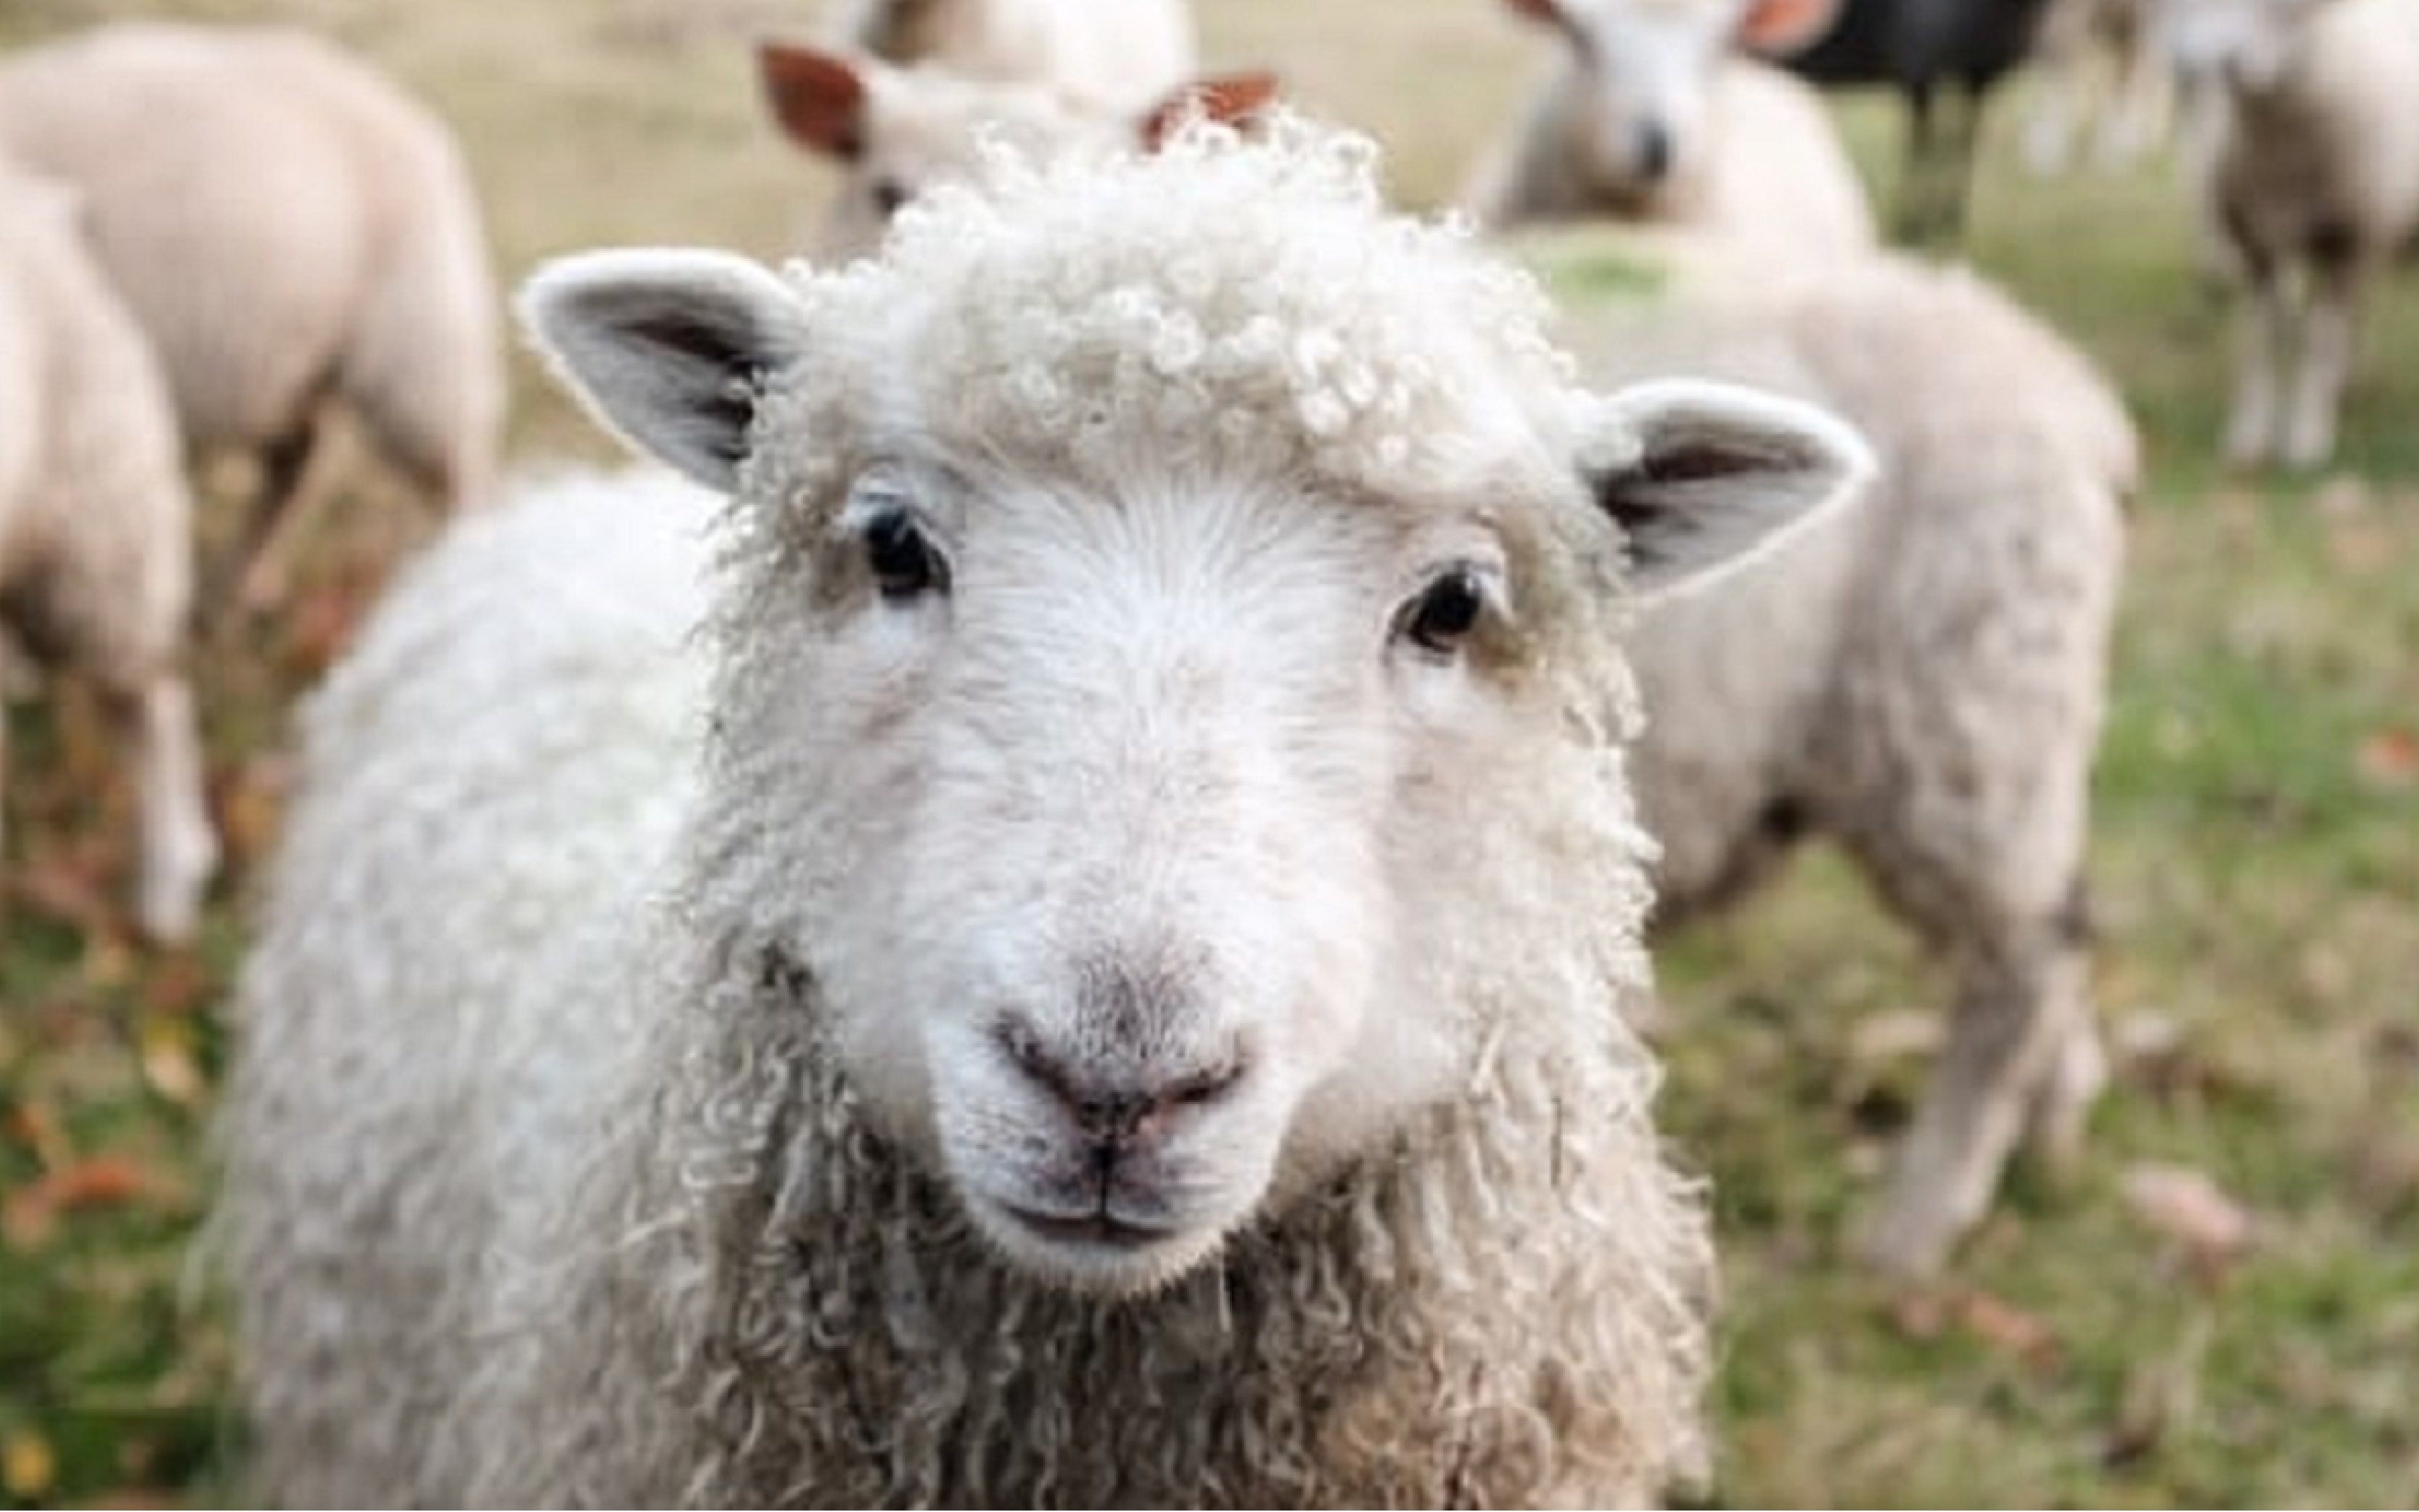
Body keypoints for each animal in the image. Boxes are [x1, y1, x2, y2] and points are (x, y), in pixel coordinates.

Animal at [0, 20, 501, 610]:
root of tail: (396, 102)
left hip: (415, 335)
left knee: (454, 468)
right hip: (285, 360)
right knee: (296, 460)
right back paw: (241, 582)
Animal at [1750, 0, 2060, 243]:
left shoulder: (1981, 76)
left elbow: (1963, 145)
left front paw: (1950, 223)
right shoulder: (1919, 67)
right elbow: (1922, 148)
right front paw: (1912, 227)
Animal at [2145, 0, 2419, 470]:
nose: (2187, 64)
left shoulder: (2343, 239)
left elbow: (2318, 341)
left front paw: (2307, 439)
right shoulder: (2255, 244)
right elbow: (2260, 340)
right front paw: (2251, 436)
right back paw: (2350, 382)